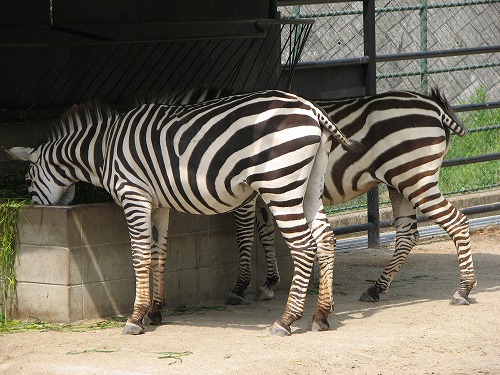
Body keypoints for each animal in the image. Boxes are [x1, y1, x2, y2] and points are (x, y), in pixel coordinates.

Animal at [5, 89, 362, 338]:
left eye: (28, 179)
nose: (38, 211)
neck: (104, 149)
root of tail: (312, 109)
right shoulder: (158, 203)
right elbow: (159, 253)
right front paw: (155, 312)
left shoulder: (134, 196)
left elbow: (139, 256)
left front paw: (135, 318)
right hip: (309, 184)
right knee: (325, 239)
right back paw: (321, 316)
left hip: (280, 183)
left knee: (303, 246)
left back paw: (286, 320)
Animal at [227, 88, 476, 308]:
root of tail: (434, 107)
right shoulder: (267, 191)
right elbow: (265, 232)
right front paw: (269, 283)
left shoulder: (246, 191)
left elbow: (244, 234)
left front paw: (239, 287)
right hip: (400, 183)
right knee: (408, 235)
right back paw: (375, 289)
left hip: (416, 179)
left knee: (457, 222)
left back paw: (463, 290)